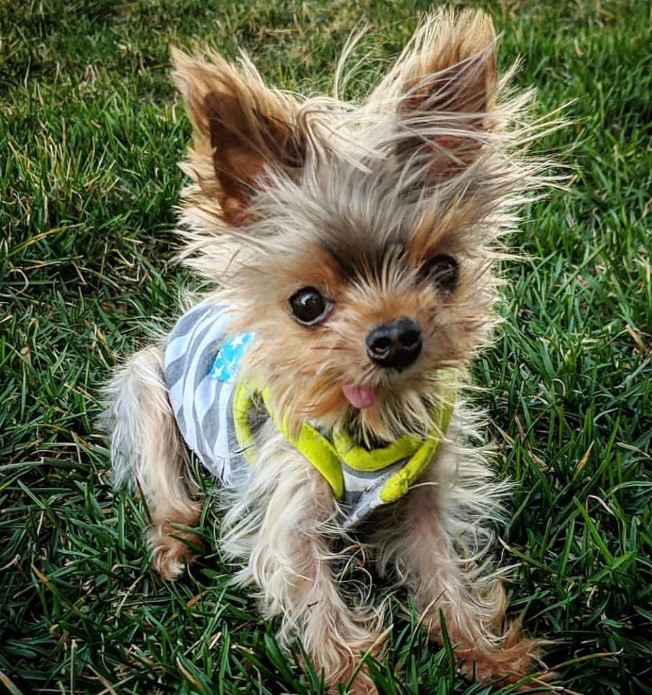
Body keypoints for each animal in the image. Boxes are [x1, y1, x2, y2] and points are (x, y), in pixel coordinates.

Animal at [104, 8, 552, 692]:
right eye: (308, 303)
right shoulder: (287, 515)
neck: (367, 423)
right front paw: (355, 679)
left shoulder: (425, 497)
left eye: (444, 270)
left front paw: (486, 653)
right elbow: (318, 602)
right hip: (146, 386)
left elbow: (442, 573)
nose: (394, 335)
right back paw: (174, 545)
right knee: (163, 483)